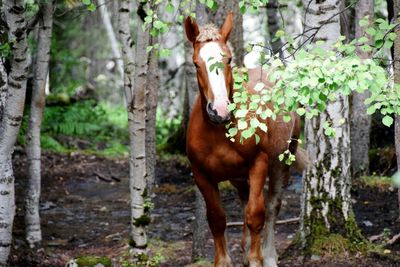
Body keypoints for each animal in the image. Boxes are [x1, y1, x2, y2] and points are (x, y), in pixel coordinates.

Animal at [186, 12, 308, 267]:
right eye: (196, 63)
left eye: (229, 59)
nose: (220, 110)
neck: (218, 132)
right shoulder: (201, 175)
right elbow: (217, 219)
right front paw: (225, 261)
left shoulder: (258, 164)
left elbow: (256, 214)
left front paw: (256, 259)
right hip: (238, 177)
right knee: (244, 202)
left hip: (281, 162)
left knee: (272, 206)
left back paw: (268, 255)